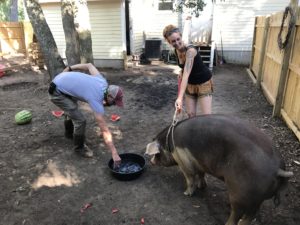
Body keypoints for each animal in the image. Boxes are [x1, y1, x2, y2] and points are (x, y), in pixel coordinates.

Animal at [145, 114, 292, 225]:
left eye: (156, 154)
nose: (151, 161)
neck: (170, 144)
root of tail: (278, 169)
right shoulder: (200, 162)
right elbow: (201, 174)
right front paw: (202, 187)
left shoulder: (184, 161)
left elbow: (190, 178)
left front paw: (186, 194)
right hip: (258, 198)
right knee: (251, 214)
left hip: (239, 193)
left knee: (236, 212)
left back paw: (228, 223)